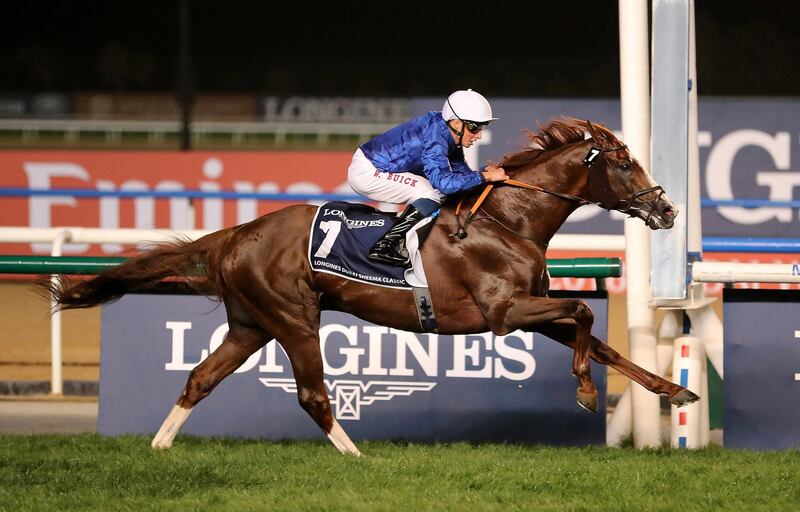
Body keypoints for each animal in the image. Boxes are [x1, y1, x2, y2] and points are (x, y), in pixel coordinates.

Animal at [48, 118, 700, 454]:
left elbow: (603, 340)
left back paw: (160, 447)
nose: (667, 210)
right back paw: (356, 456)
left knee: (200, 378)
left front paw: (675, 391)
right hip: (293, 319)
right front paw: (587, 393)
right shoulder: (504, 312)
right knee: (312, 395)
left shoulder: (530, 309)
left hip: (251, 324)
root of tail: (237, 233)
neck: (508, 220)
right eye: (624, 165)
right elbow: (586, 314)